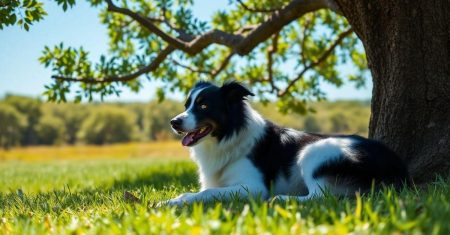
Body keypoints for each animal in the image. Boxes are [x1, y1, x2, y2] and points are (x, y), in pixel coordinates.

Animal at [166, 81, 412, 206]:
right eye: (187, 105)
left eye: (204, 106)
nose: (174, 122)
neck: (229, 134)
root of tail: (396, 165)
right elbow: (197, 192)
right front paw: (171, 201)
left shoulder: (254, 187)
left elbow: (206, 193)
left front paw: (176, 202)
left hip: (313, 151)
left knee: (320, 196)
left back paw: (282, 199)